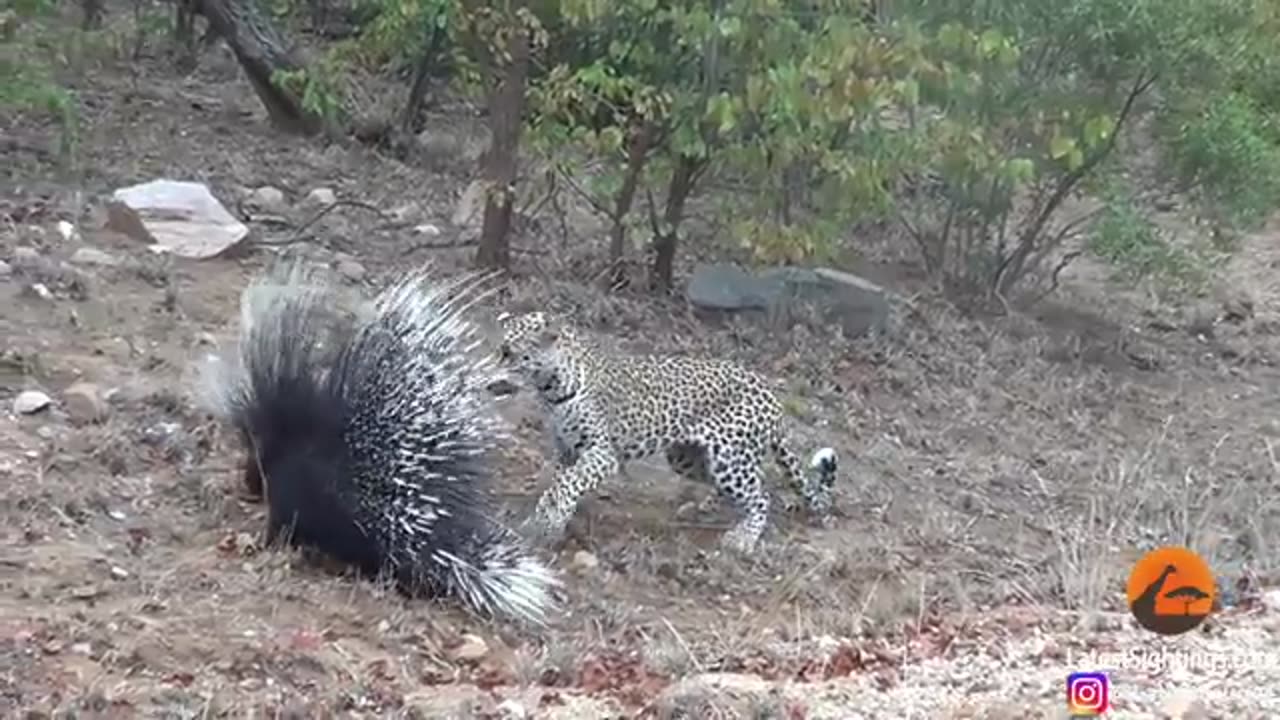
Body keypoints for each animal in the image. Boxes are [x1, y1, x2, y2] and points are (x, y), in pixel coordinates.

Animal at [491, 307, 839, 548]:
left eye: (509, 352)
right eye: (500, 350)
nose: (491, 368)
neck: (551, 388)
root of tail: (769, 391)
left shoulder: (602, 453)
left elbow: (565, 484)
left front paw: (548, 521)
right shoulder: (566, 449)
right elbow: (559, 485)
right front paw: (547, 520)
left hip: (730, 458)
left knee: (762, 494)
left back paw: (743, 538)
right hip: (686, 457)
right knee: (736, 484)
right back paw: (701, 508)